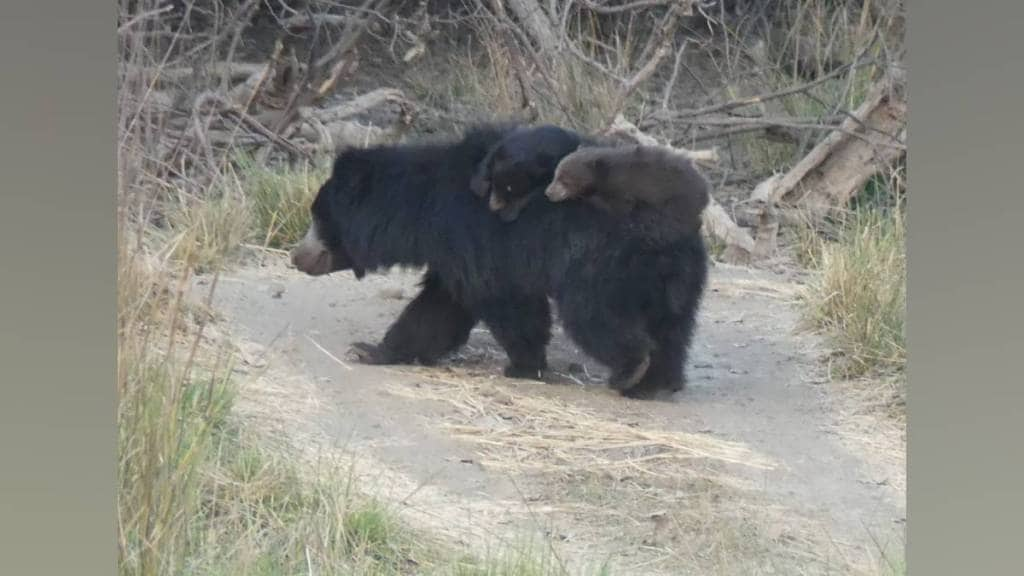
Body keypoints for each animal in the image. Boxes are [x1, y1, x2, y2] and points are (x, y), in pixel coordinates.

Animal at [288, 123, 704, 397]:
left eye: (318, 217)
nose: (297, 257)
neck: (423, 208)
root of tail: (672, 222)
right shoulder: (454, 251)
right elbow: (441, 306)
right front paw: (371, 349)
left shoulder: (477, 239)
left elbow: (503, 303)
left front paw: (523, 365)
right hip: (675, 277)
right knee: (673, 327)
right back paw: (660, 382)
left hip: (600, 266)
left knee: (596, 318)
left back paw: (630, 370)